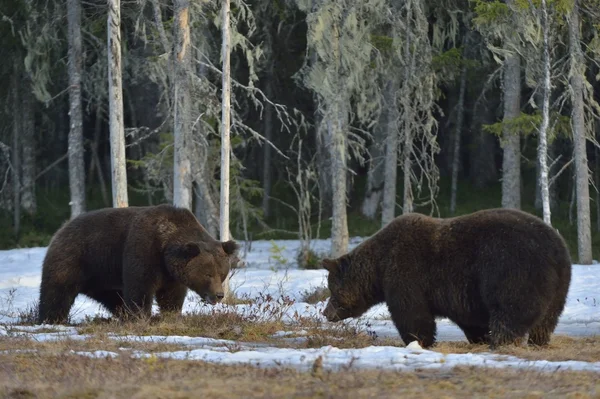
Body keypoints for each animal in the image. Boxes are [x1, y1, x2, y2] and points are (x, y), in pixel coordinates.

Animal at [36, 203, 239, 324]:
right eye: (208, 274)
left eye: (222, 274)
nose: (219, 295)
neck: (165, 248)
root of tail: (61, 228)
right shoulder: (143, 250)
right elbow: (140, 287)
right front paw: (142, 316)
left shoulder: (171, 273)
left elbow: (171, 296)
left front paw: (171, 314)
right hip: (76, 258)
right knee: (57, 291)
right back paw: (52, 319)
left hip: (103, 277)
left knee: (113, 297)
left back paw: (121, 314)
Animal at [324, 209, 572, 350]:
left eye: (331, 290)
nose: (326, 313)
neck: (378, 266)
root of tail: (556, 248)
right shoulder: (462, 292)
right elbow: (470, 318)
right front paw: (478, 336)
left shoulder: (406, 273)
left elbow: (411, 313)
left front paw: (418, 341)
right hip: (560, 283)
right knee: (548, 317)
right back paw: (538, 341)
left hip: (511, 268)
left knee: (510, 309)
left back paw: (501, 342)